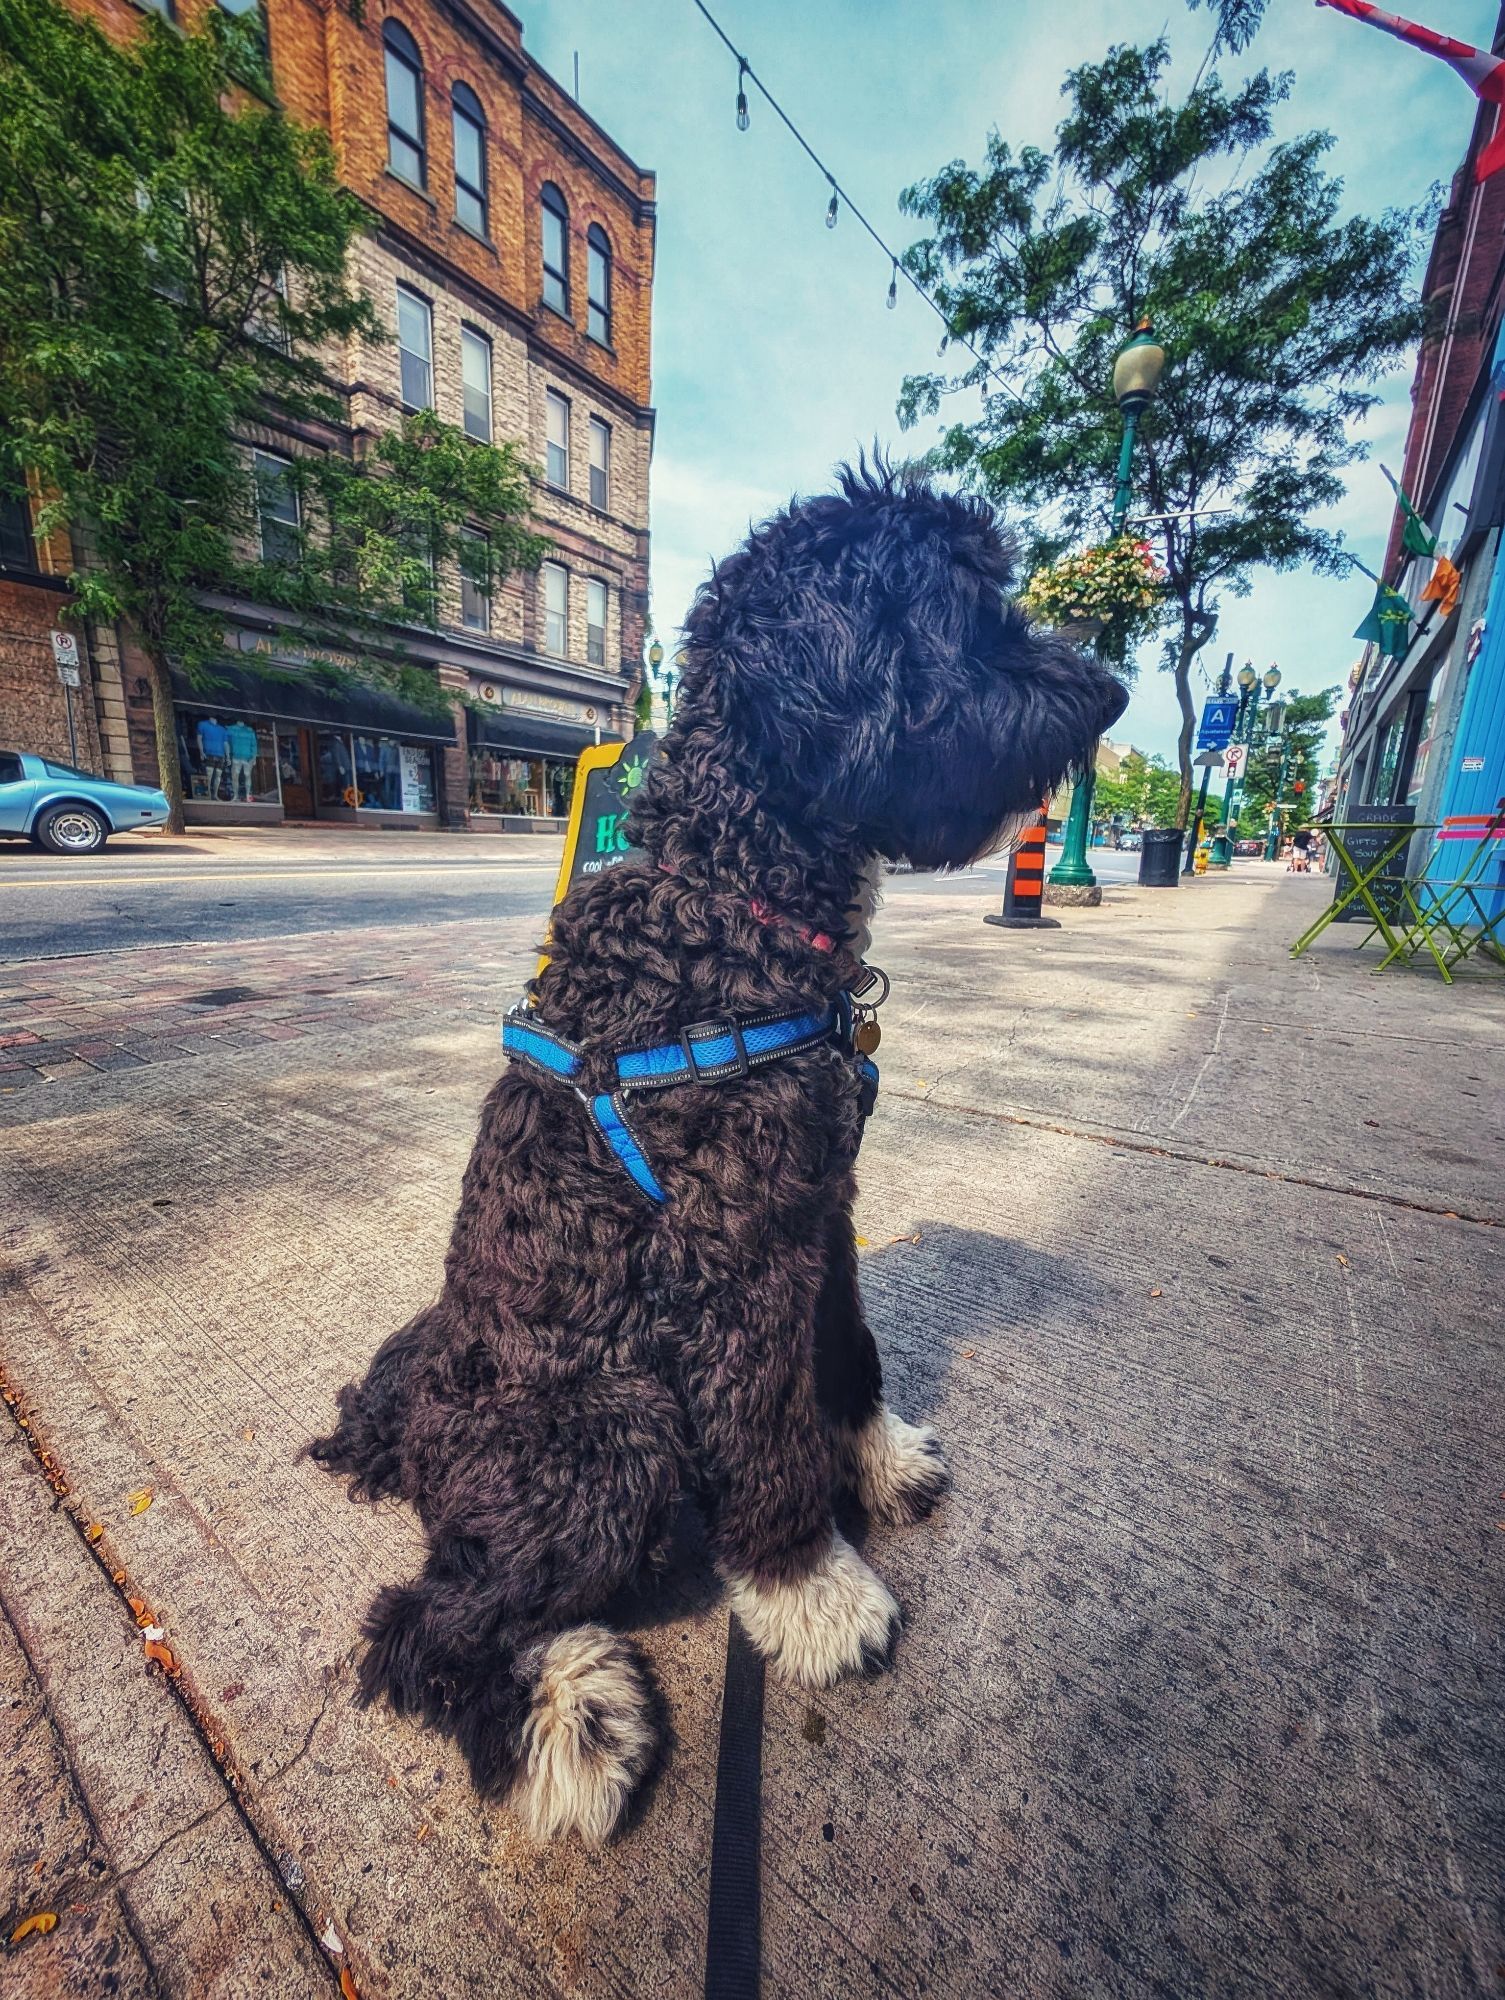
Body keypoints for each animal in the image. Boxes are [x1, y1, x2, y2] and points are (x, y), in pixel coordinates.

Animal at [312, 464, 1120, 1840]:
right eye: (964, 619)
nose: (1112, 691)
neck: (726, 897)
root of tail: (410, 1425)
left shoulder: (817, 1206)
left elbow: (843, 1354)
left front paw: (875, 1456)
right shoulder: (732, 1255)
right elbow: (766, 1437)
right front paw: (812, 1592)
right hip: (617, 1431)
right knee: (429, 1621)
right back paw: (569, 1722)